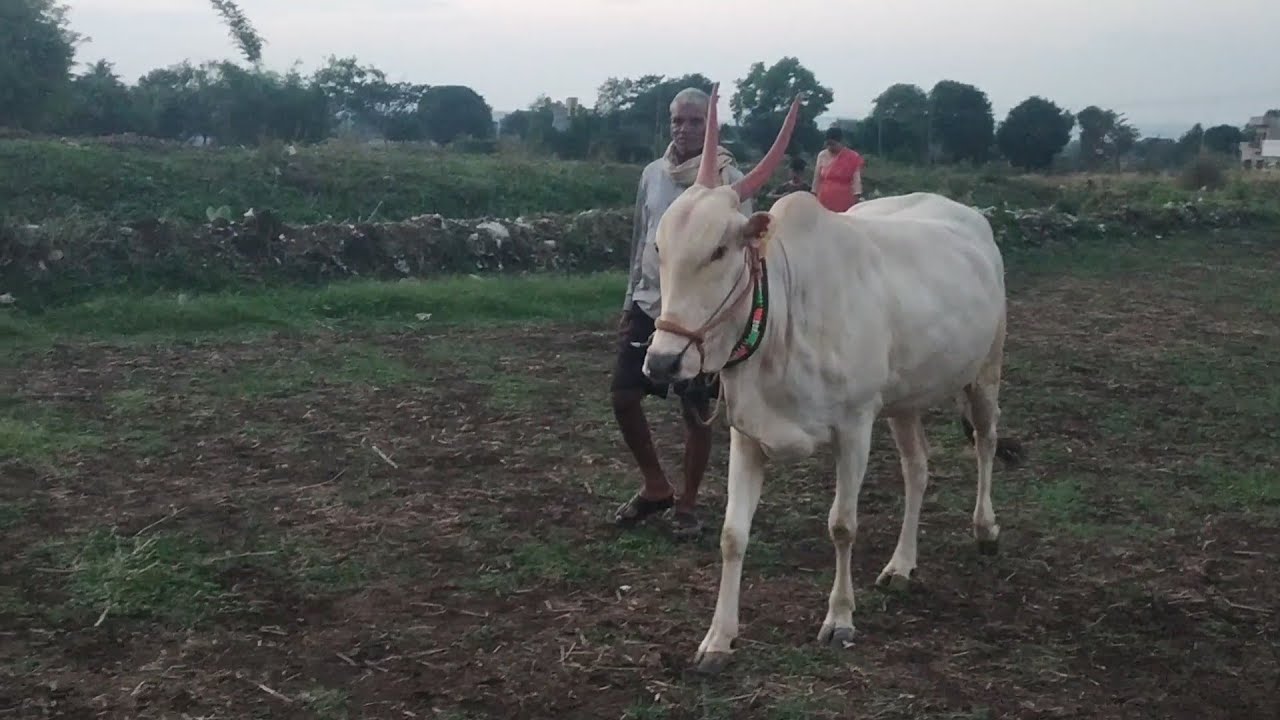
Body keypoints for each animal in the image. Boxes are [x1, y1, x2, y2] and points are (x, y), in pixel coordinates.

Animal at [641, 83, 1020, 674]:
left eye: (719, 250)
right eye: (659, 247)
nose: (661, 362)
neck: (782, 318)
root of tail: (970, 217)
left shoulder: (855, 427)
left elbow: (842, 524)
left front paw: (840, 618)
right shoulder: (746, 434)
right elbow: (732, 535)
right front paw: (718, 638)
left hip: (984, 370)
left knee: (985, 440)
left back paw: (985, 530)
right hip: (904, 400)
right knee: (918, 468)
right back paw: (901, 565)